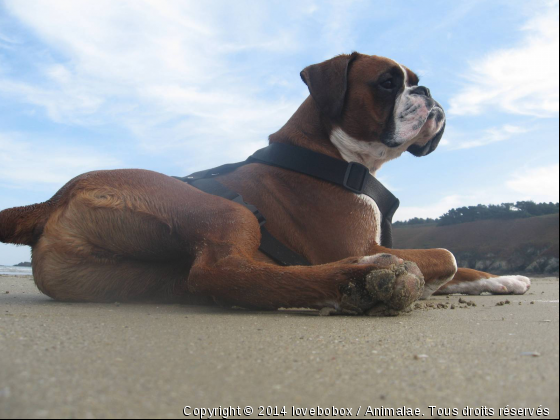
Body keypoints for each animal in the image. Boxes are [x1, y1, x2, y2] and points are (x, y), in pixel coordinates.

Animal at [0, 52, 528, 314]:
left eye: (415, 79)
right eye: (387, 83)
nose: (428, 91)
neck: (332, 155)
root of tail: (55, 197)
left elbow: (462, 266)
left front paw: (504, 278)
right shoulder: (357, 241)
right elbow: (448, 255)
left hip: (143, 278)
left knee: (224, 282)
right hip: (224, 210)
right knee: (222, 272)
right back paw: (358, 280)